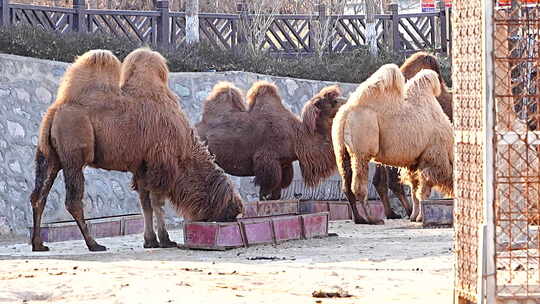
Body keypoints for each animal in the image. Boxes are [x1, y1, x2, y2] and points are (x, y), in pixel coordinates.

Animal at [27, 47, 243, 252]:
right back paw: (94, 244)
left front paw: (150, 241)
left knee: (39, 196)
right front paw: (165, 240)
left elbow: (145, 202)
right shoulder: (159, 162)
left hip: (50, 156)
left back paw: (39, 244)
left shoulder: (142, 166)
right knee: (72, 199)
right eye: (228, 212)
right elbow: (157, 202)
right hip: (74, 152)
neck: (184, 149)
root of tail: (54, 112)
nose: (233, 218)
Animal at [196, 81, 344, 200]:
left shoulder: (284, 164)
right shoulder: (267, 161)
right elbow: (265, 194)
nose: (346, 102)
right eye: (334, 102)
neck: (296, 137)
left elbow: (276, 195)